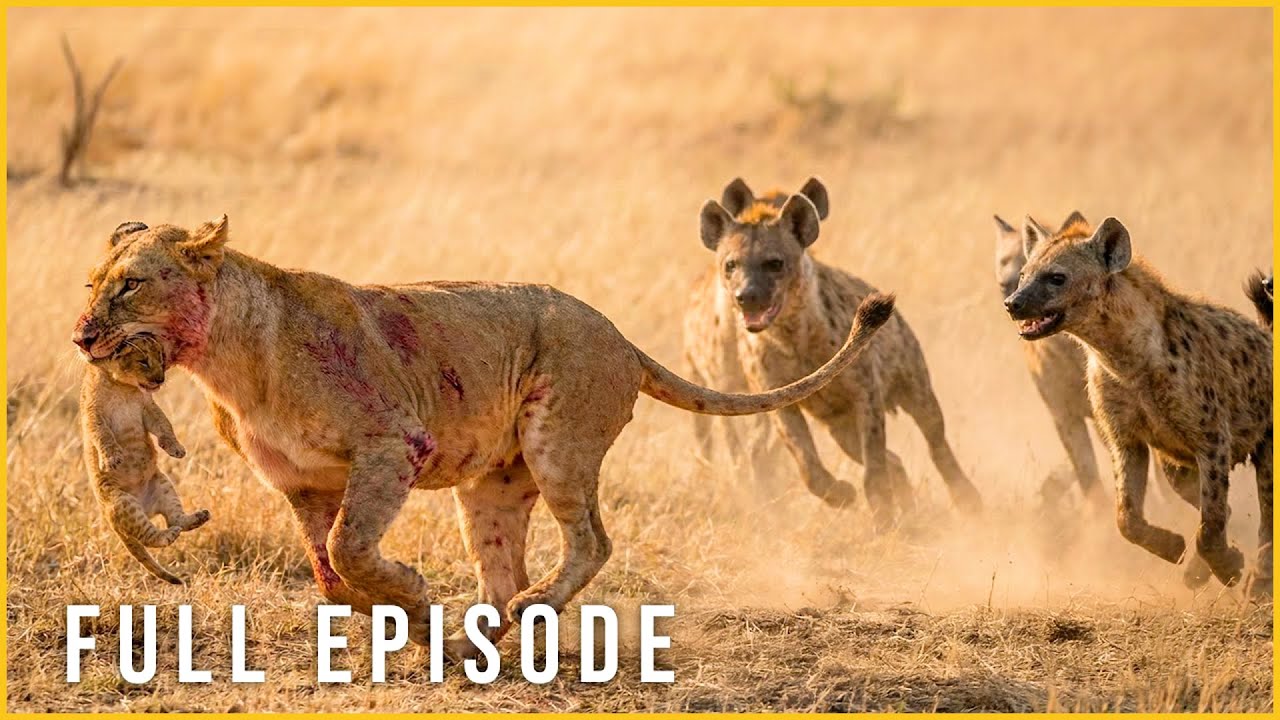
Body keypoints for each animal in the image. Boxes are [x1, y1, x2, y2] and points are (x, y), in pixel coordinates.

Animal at [72, 216, 895, 658]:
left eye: (131, 284)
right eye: (92, 283)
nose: (81, 336)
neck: (229, 361)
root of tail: (624, 339)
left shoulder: (392, 447)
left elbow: (350, 548)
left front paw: (408, 594)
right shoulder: (302, 485)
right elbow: (330, 574)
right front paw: (400, 619)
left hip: (558, 443)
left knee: (592, 542)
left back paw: (528, 610)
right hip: (491, 488)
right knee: (502, 568)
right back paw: (476, 640)